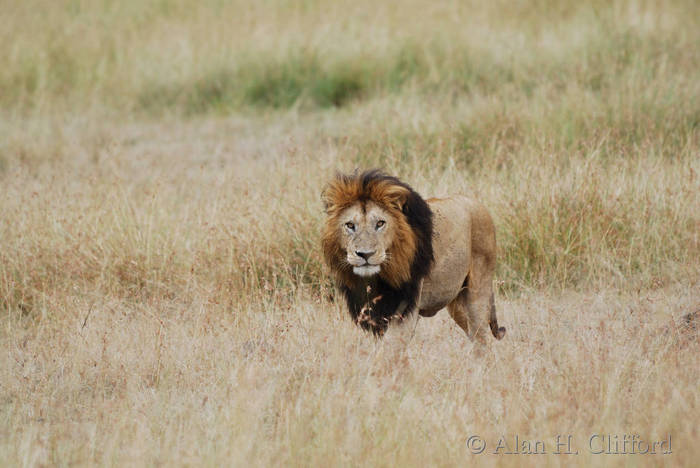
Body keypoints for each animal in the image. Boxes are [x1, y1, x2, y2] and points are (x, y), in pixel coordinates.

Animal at [322, 169, 506, 344]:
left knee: (481, 339)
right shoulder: (372, 312)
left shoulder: (405, 310)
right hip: (457, 302)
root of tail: (478, 203)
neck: (375, 279)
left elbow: (390, 349)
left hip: (478, 291)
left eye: (380, 223)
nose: (365, 254)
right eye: (350, 225)